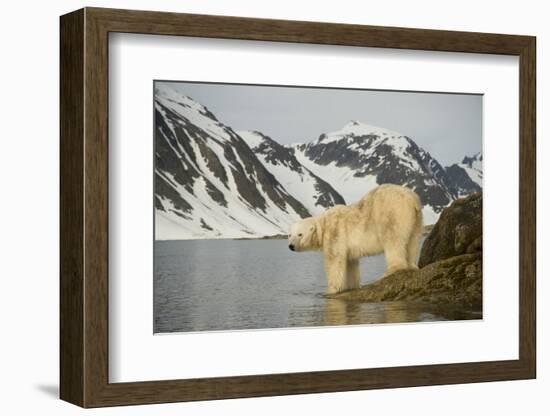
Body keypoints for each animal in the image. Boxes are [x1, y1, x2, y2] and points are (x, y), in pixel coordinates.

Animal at [292, 184, 424, 294]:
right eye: (289, 235)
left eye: (300, 234)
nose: (291, 246)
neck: (323, 224)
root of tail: (412, 199)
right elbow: (351, 265)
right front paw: (351, 286)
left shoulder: (334, 232)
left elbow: (334, 261)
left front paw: (331, 290)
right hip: (417, 220)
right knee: (413, 241)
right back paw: (412, 265)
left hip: (393, 213)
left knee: (392, 239)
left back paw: (390, 270)